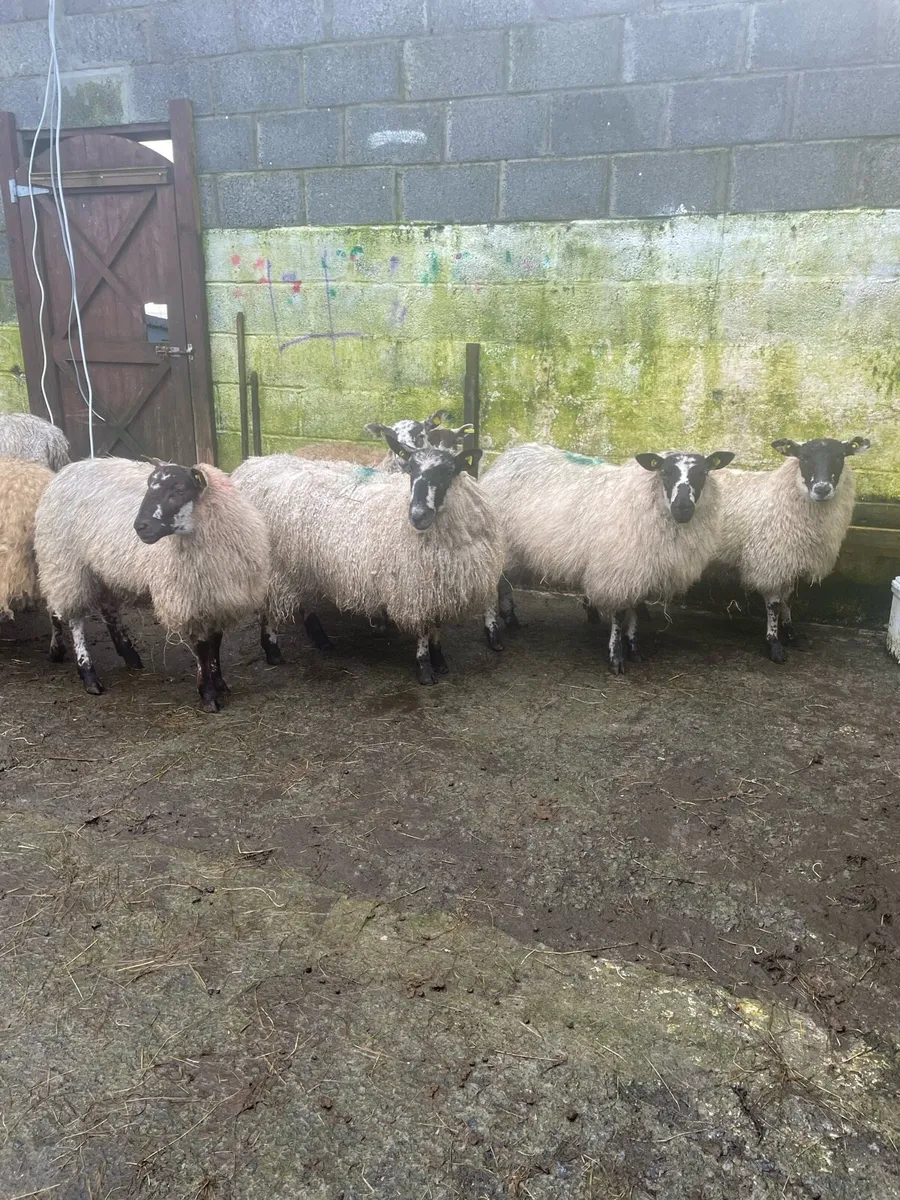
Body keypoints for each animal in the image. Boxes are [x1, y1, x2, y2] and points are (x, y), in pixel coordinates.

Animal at [34, 457, 270, 712]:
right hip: (67, 565)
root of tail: (67, 469)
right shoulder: (188, 598)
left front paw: (220, 683)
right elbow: (201, 648)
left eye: (179, 490)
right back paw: (88, 675)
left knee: (109, 609)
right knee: (76, 619)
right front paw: (207, 694)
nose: (140, 526)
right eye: (148, 487)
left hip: (103, 568)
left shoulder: (218, 596)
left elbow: (215, 642)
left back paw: (129, 654)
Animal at [232, 433, 504, 684]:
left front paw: (439, 660)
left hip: (300, 563)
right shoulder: (414, 587)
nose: (418, 515)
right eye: (411, 470)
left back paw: (320, 639)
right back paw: (273, 650)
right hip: (273, 566)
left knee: (304, 600)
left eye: (448, 471)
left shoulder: (437, 586)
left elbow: (436, 625)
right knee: (268, 608)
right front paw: (425, 667)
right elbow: (423, 629)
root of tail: (251, 465)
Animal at [480, 443, 735, 673]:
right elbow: (619, 615)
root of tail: (506, 458)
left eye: (703, 473)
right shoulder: (617, 570)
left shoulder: (638, 569)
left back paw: (511, 619)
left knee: (503, 582)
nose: (683, 508)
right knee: (493, 584)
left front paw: (633, 648)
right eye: (665, 472)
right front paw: (616, 657)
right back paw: (493, 635)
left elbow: (635, 609)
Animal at [714, 436, 870, 663]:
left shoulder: (790, 559)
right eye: (803, 457)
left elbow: (787, 599)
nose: (822, 489)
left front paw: (791, 633)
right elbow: (774, 604)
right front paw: (774, 644)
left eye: (840, 456)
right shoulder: (770, 561)